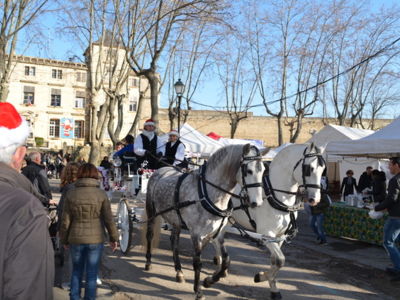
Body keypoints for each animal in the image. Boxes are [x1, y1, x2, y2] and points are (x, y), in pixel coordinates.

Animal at [144, 144, 268, 298]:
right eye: (249, 170)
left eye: (263, 171)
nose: (257, 203)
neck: (207, 193)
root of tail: (160, 170)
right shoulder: (196, 233)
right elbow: (197, 262)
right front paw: (198, 290)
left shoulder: (218, 233)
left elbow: (226, 260)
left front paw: (209, 281)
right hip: (152, 212)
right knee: (150, 235)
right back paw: (148, 262)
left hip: (176, 220)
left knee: (174, 242)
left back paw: (179, 271)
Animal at [228, 144, 324, 298]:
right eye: (309, 168)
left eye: (323, 169)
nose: (315, 199)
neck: (274, 194)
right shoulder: (267, 234)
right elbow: (280, 260)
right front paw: (263, 277)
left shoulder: (279, 236)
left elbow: (275, 261)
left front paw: (270, 284)